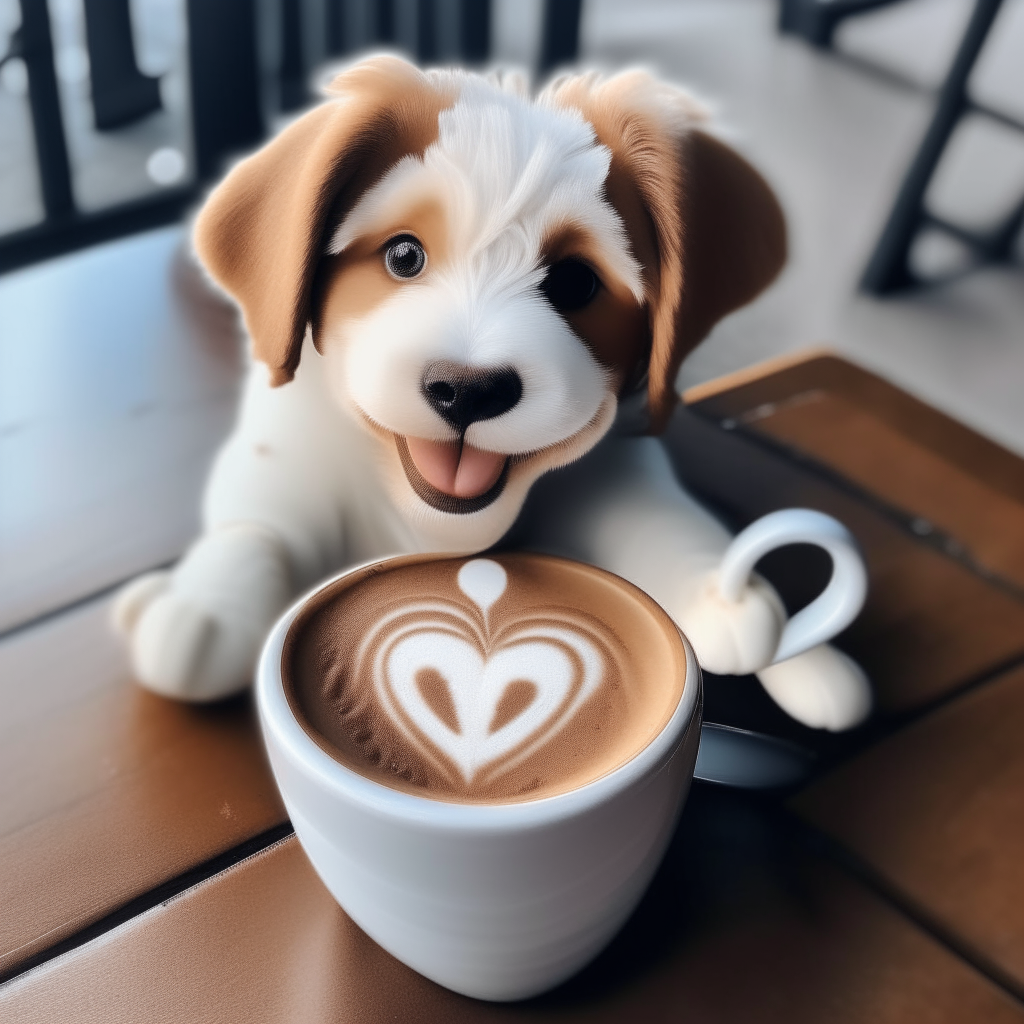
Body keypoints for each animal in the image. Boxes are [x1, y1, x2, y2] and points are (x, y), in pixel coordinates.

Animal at [114, 56, 872, 733]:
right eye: (403, 256)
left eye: (574, 282)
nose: (467, 391)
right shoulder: (286, 456)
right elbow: (257, 530)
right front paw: (207, 606)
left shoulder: (620, 464)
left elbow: (662, 521)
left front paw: (740, 603)